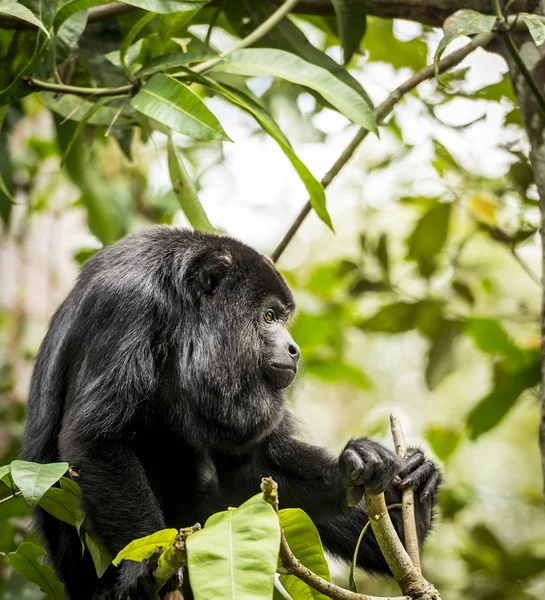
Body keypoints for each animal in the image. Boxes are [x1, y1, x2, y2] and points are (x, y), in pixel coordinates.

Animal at [23, 227, 442, 596]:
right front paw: (139, 568)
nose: (294, 349)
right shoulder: (125, 305)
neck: (179, 312)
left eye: (282, 318)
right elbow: (97, 437)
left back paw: (416, 506)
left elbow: (249, 466)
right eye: (269, 316)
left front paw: (353, 464)